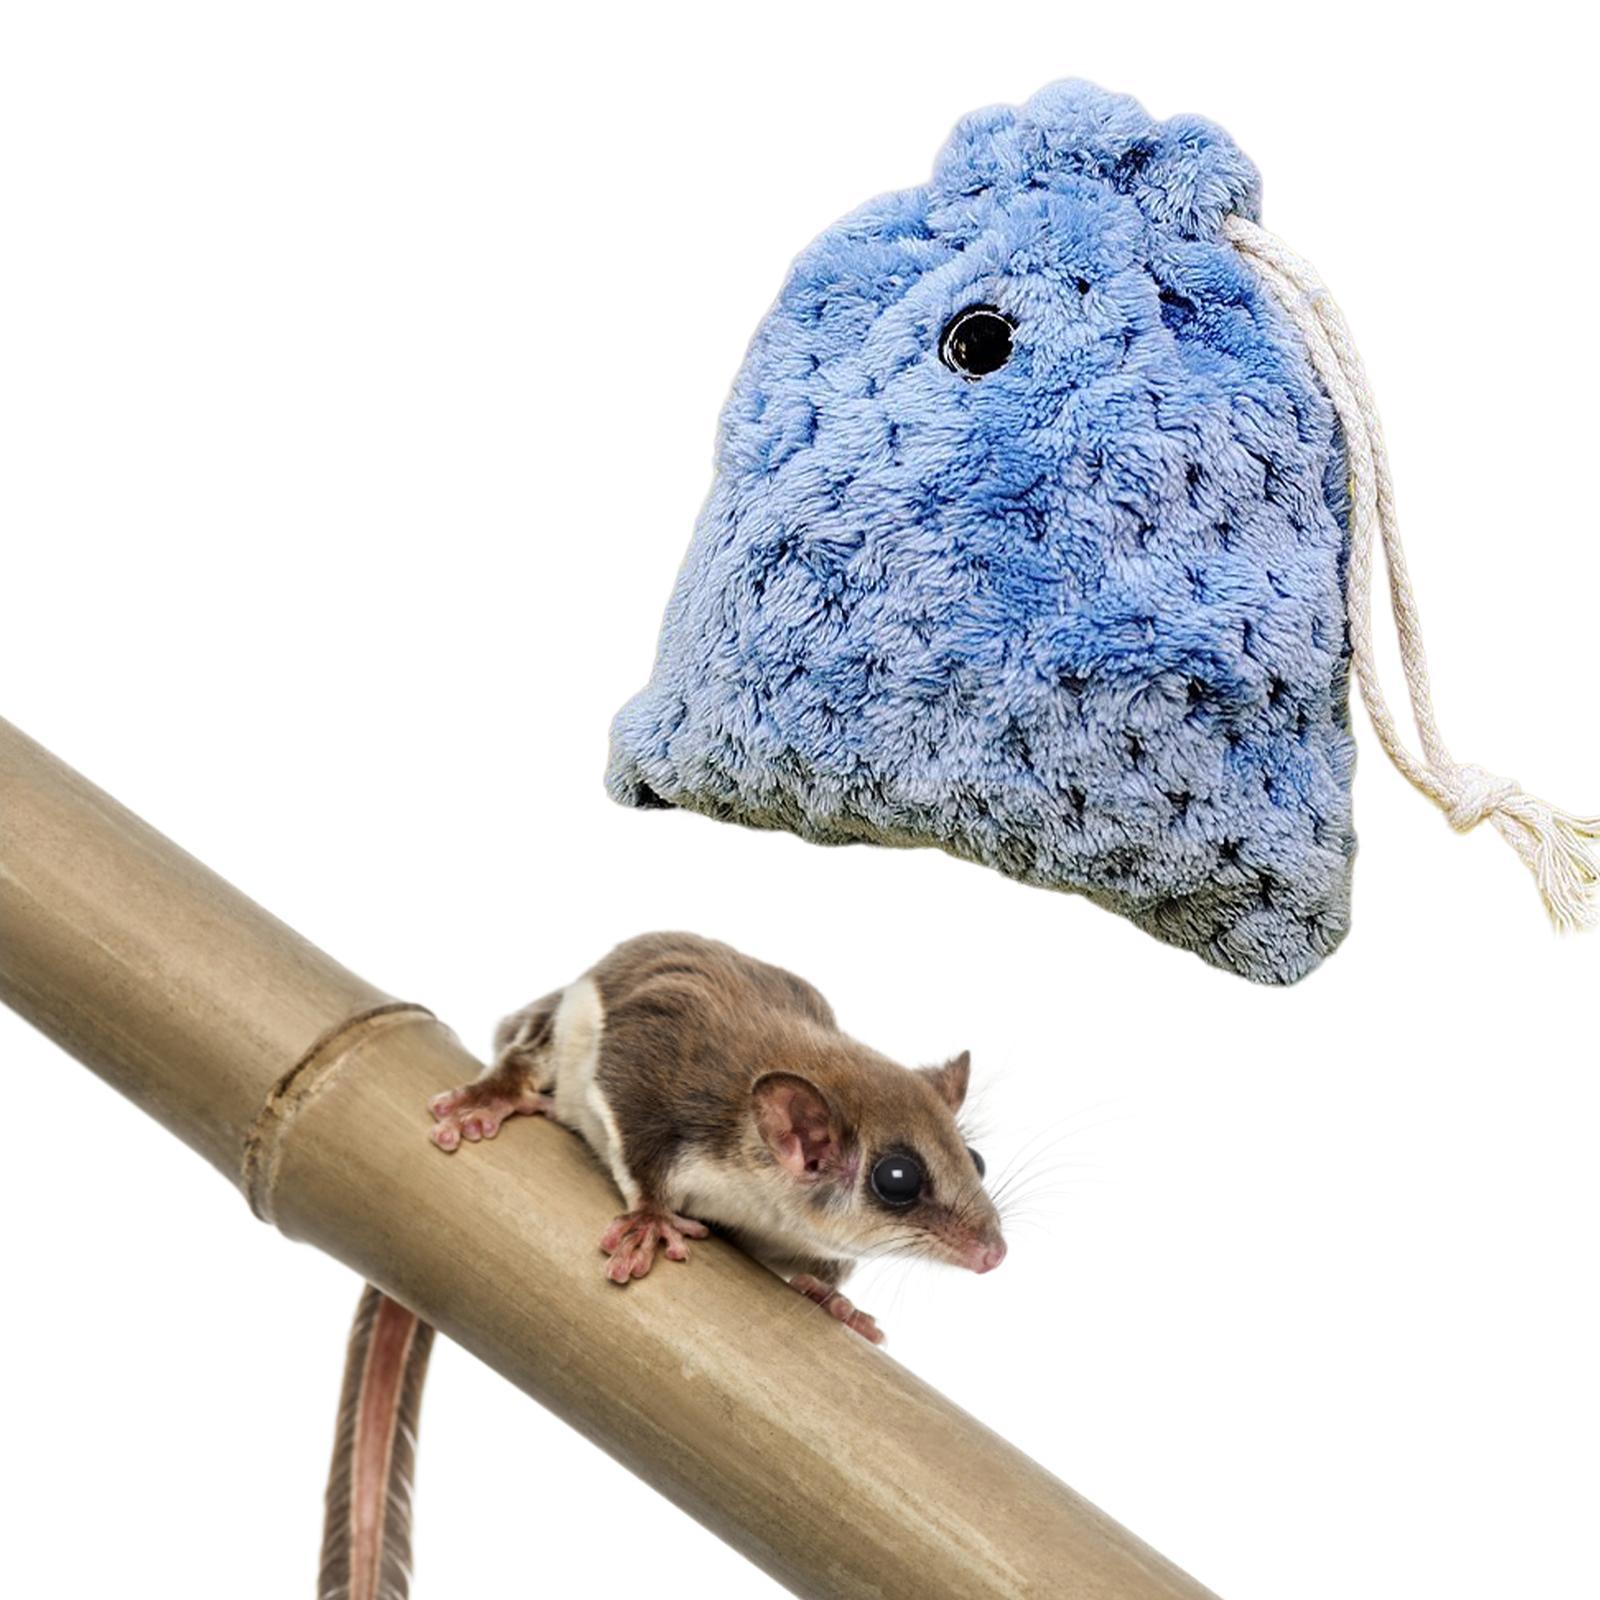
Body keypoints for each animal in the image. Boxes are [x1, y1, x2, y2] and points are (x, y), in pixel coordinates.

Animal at [427, 931, 1005, 1342]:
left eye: (975, 1161)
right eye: (897, 1179)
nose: (994, 1254)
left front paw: (834, 1301)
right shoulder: (663, 1072)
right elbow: (636, 1129)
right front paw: (652, 1221)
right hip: (563, 1019)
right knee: (529, 1046)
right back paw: (494, 1094)